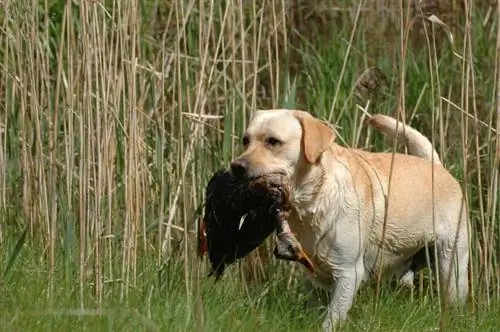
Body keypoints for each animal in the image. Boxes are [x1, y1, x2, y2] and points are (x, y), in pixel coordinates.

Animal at [230, 108, 468, 330]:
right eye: (245, 140)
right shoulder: (311, 275)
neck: (314, 202)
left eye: (273, 141)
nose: (236, 166)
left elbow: (332, 319)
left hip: (452, 263)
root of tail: (437, 167)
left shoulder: (348, 273)